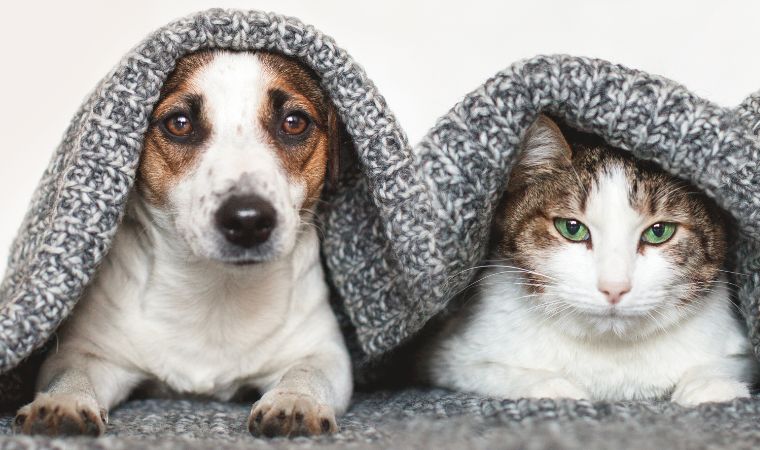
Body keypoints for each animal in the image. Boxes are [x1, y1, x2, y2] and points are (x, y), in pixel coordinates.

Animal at [14, 51, 354, 438]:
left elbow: (308, 371)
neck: (217, 293)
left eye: (294, 122)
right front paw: (63, 402)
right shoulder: (87, 353)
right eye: (179, 123)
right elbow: (71, 374)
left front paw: (295, 400)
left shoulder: (322, 351)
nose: (248, 220)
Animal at [418, 116, 756, 404]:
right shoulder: (451, 354)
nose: (614, 288)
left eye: (659, 231)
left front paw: (711, 385)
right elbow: (493, 372)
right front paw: (553, 387)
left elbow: (728, 363)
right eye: (572, 228)